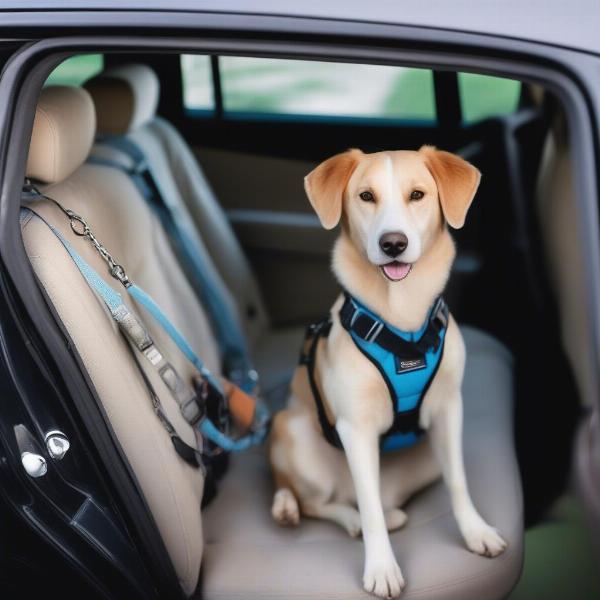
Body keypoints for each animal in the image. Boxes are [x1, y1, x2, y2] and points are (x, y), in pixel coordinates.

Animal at [270, 146, 508, 596]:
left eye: (417, 195)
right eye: (366, 196)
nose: (393, 243)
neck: (403, 319)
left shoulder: (449, 409)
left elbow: (458, 481)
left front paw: (476, 531)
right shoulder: (355, 429)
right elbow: (369, 509)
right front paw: (381, 567)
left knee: (373, 502)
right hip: (291, 429)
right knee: (313, 499)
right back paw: (306, 510)